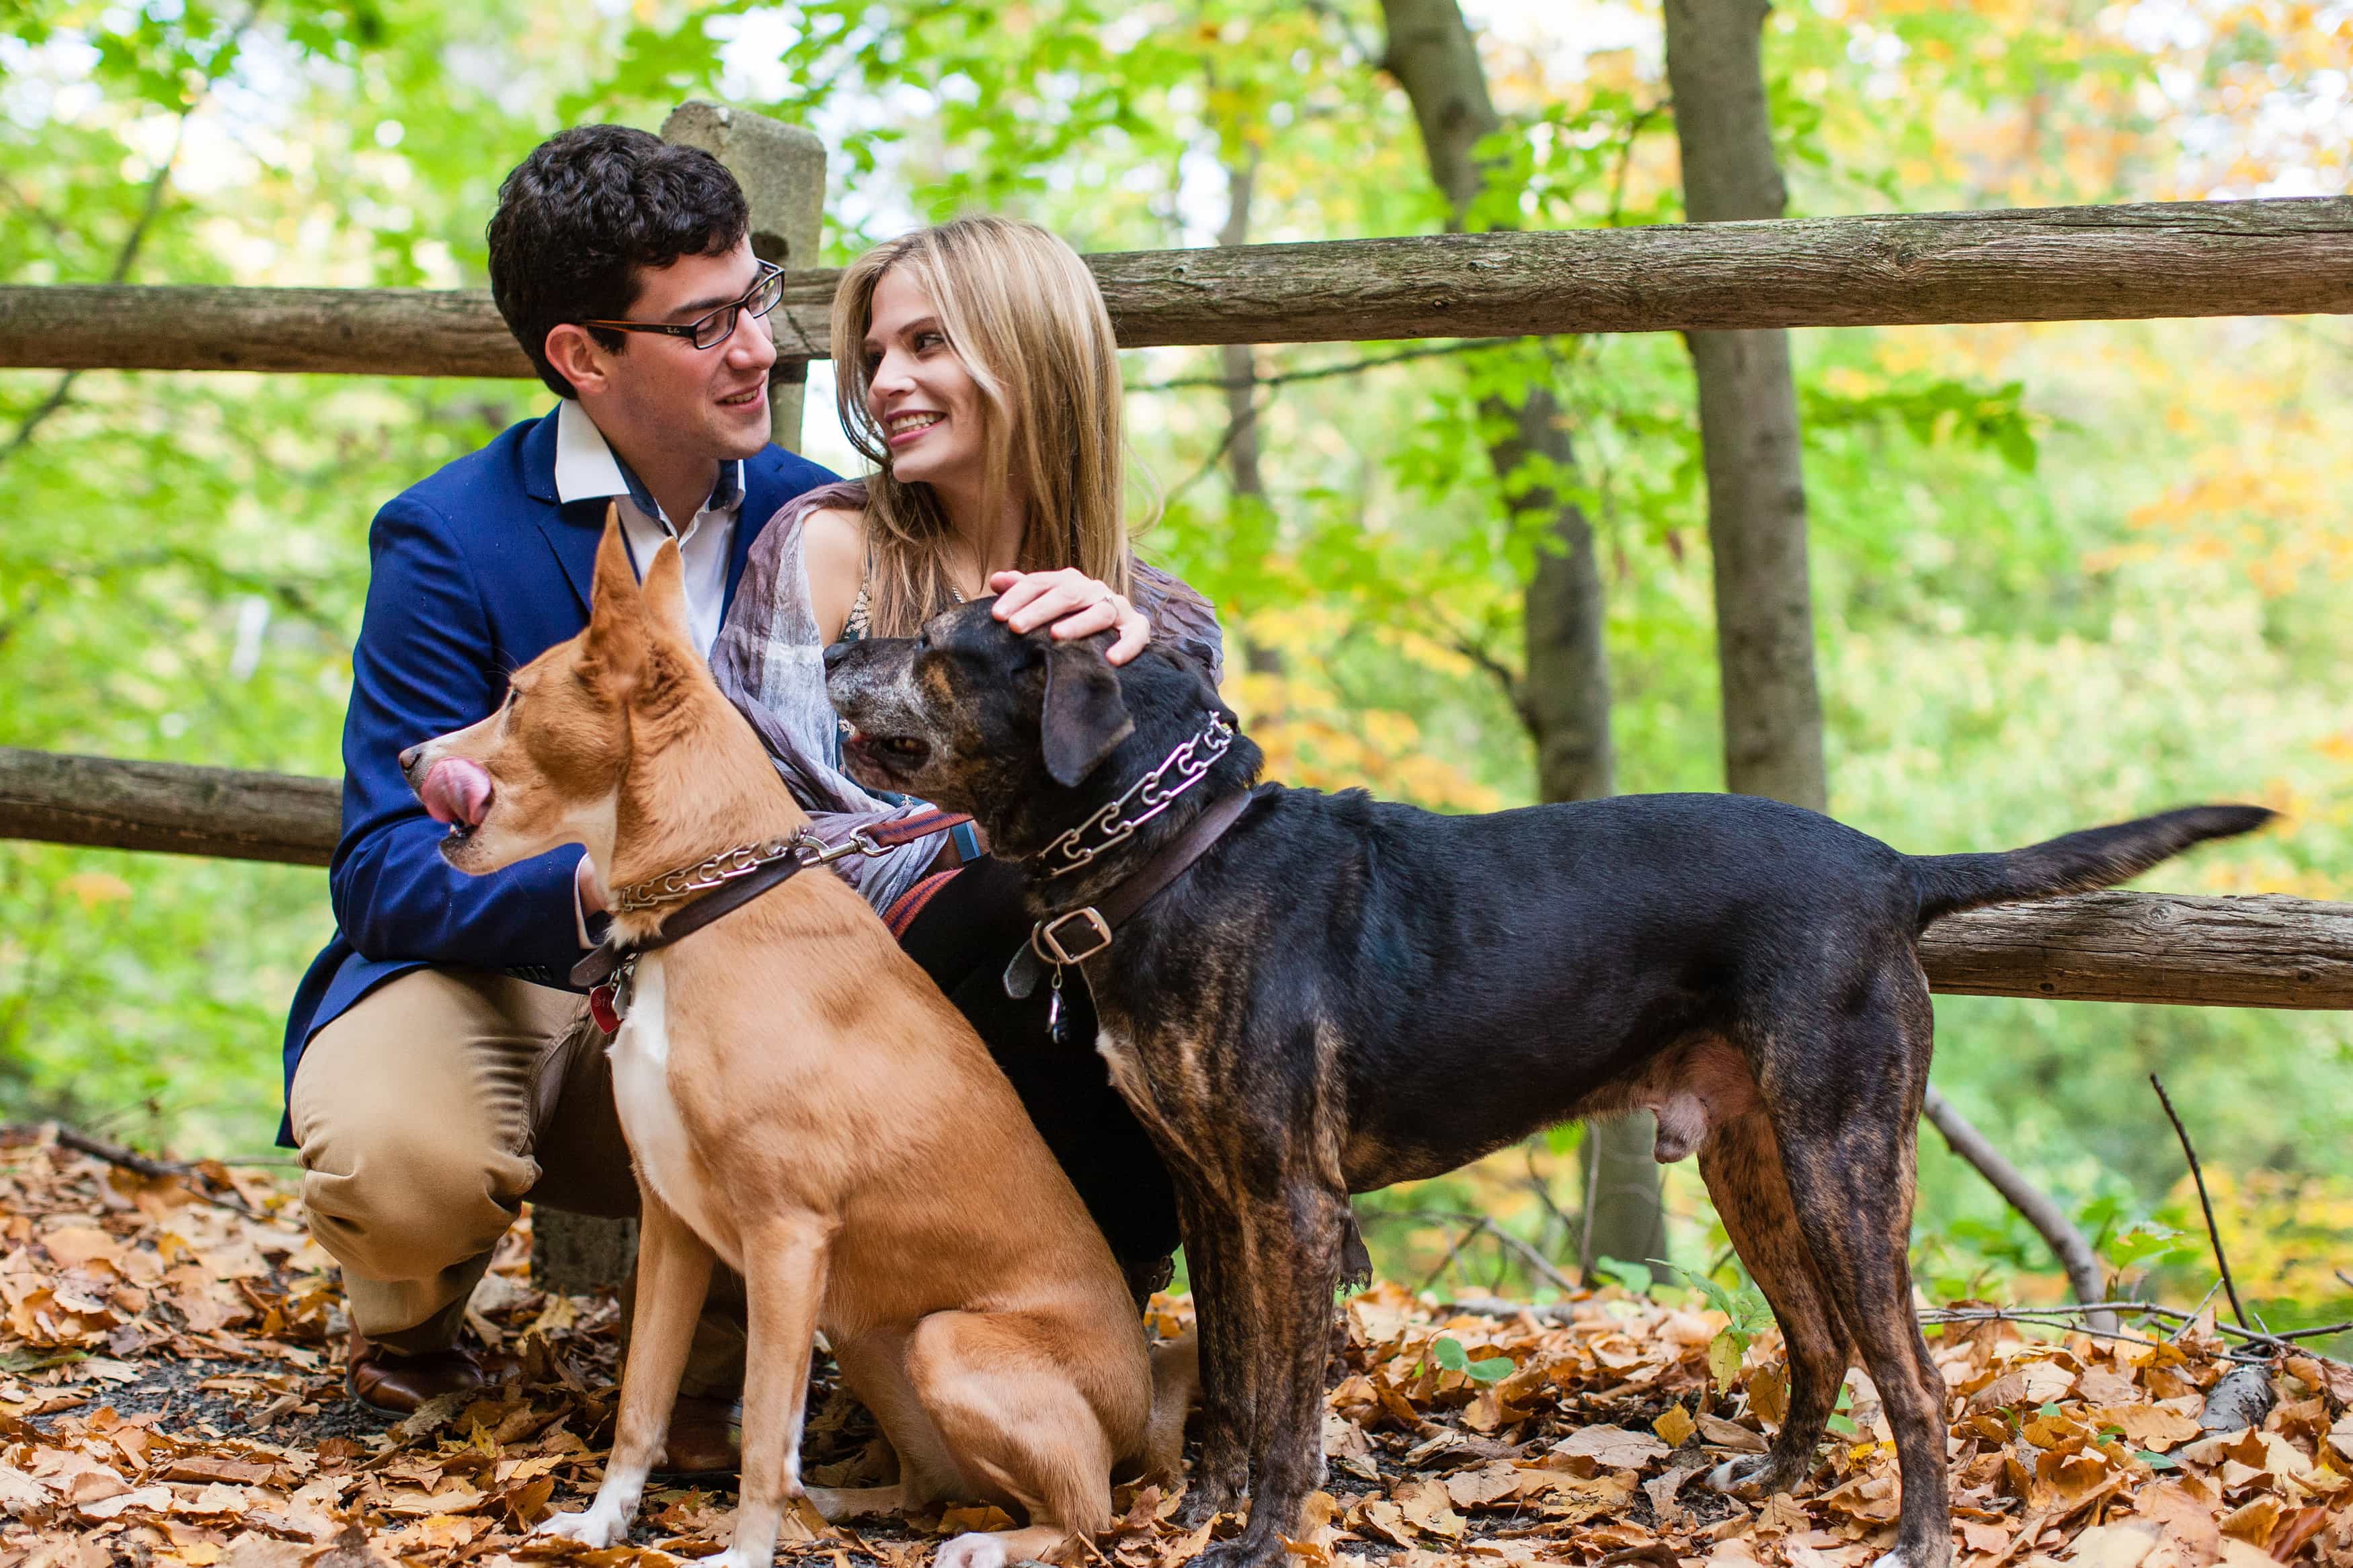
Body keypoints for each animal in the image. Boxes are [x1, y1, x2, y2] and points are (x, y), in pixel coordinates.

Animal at [402, 521, 1188, 1568]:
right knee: (935, 1482)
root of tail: (1141, 1407)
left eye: (516, 697)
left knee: (1086, 1511)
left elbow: (765, 1435)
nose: (409, 754)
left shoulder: (785, 1236)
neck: (707, 906)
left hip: (944, 1343)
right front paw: (606, 1524)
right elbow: (642, 1402)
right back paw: (851, 1504)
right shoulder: (674, 1224)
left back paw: (986, 1540)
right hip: (869, 1334)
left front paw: (743, 1552)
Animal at [824, 599, 2272, 1568]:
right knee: (1817, 1345)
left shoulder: (1290, 1200)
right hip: (1754, 1162)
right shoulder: (1207, 1191)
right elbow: (1229, 1382)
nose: (834, 643)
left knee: (1910, 1374)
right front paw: (1193, 1515)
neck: (1182, 851)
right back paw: (1769, 1484)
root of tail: (1890, 866)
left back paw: (1917, 1536)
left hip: (1843, 1155)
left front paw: (1260, 1535)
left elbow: (1288, 1403)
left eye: (940, 637)